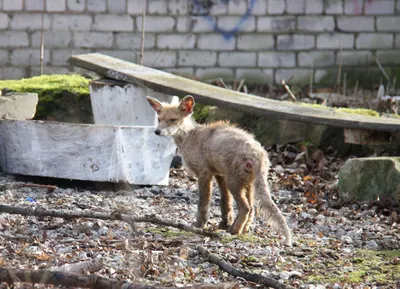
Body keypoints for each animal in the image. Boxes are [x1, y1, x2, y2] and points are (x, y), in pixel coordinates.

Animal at [145, 95, 292, 245]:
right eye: (159, 119)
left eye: (172, 120)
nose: (157, 132)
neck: (190, 137)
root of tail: (258, 152)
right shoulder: (219, 175)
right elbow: (225, 203)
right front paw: (224, 224)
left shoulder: (204, 174)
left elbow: (203, 204)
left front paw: (199, 225)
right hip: (246, 184)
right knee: (252, 209)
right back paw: (242, 229)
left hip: (234, 183)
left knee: (246, 207)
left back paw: (235, 231)